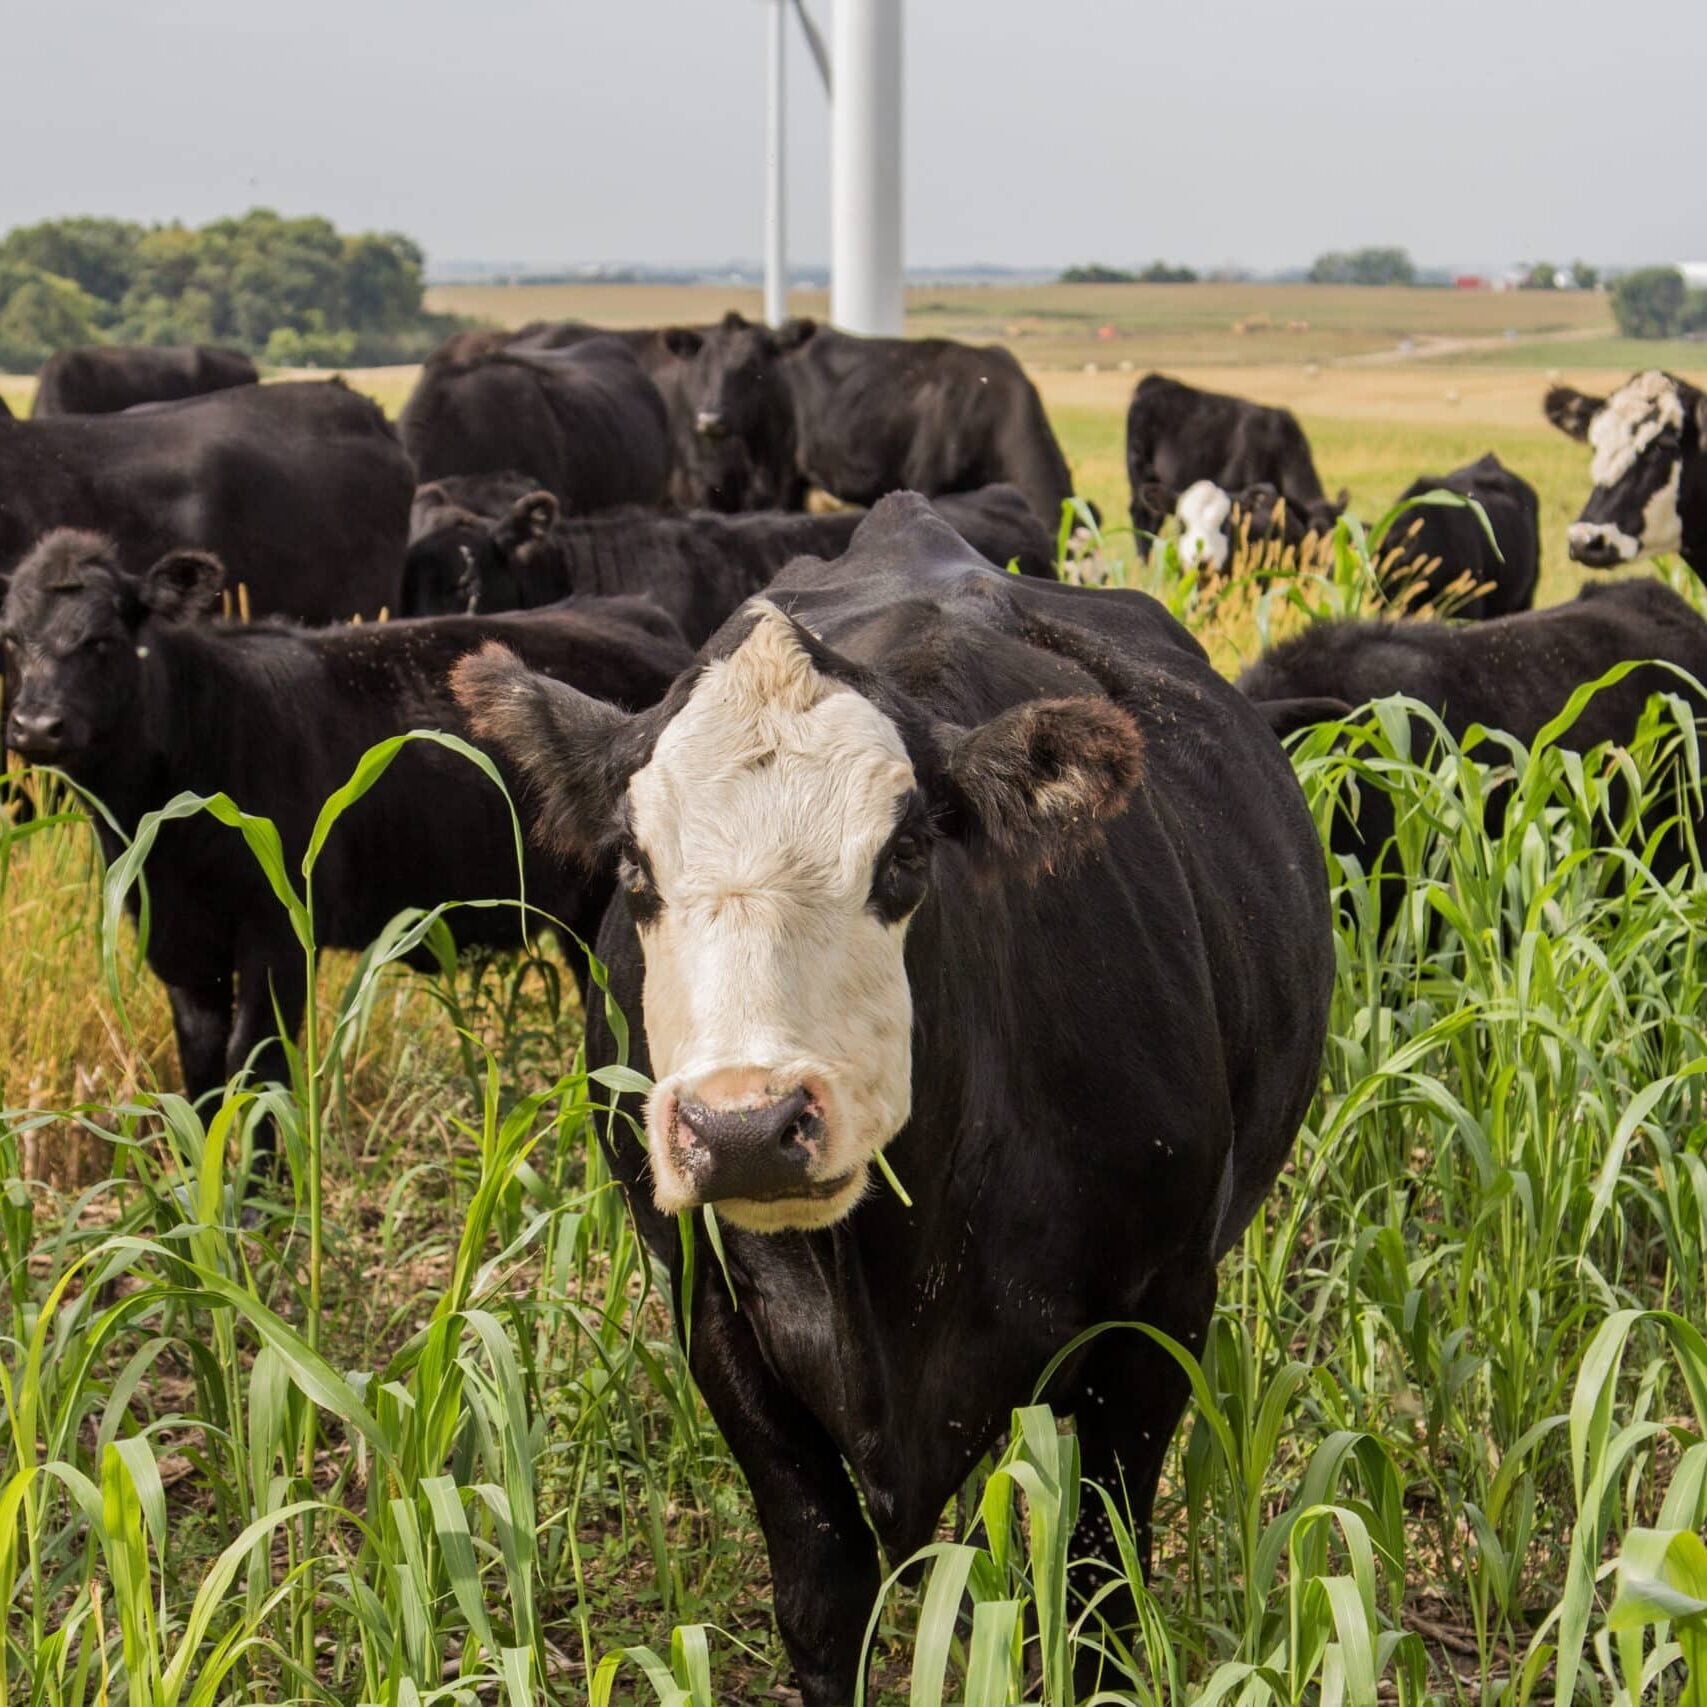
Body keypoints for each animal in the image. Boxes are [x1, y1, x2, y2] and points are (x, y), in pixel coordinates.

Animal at [0, 529, 691, 1157]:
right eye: (10, 636)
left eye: (102, 641)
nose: (35, 726)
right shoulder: (178, 946)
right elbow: (201, 1076)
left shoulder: (277, 934)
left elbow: (258, 1067)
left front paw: (260, 1198)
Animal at [453, 492, 1334, 1705]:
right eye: (633, 864)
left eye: (909, 850)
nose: (744, 1126)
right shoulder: (715, 1316)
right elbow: (824, 1601)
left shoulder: (1159, 1311)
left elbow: (1098, 1603)